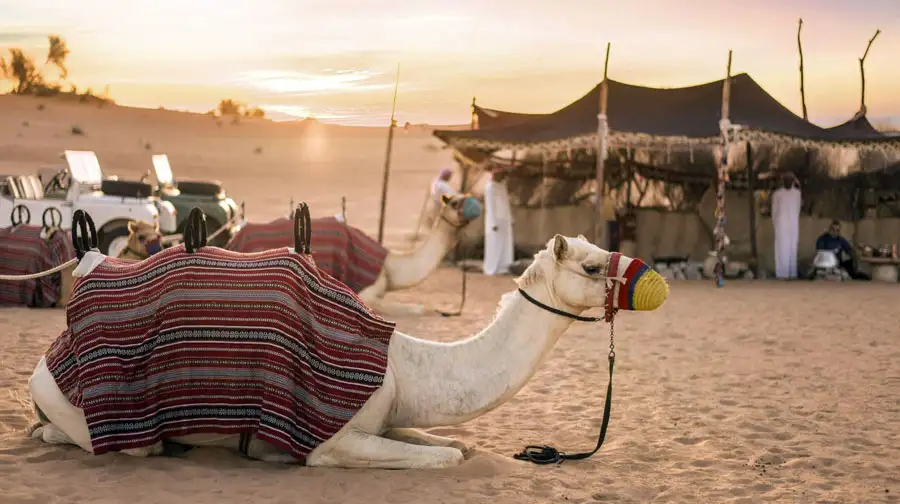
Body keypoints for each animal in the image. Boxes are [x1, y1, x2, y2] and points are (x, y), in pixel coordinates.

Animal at [27, 234, 669, 469]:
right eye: (592, 266)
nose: (655, 281)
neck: (405, 364)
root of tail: (46, 359)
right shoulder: (333, 439)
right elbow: (446, 458)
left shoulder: (390, 416)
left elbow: (447, 442)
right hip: (91, 409)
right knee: (104, 439)